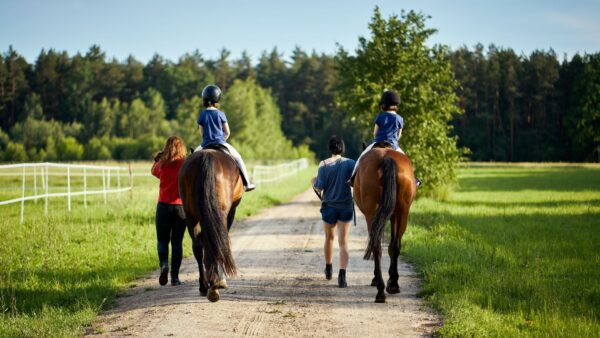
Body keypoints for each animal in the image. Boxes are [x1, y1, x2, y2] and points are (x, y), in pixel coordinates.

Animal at [178, 149, 244, 302]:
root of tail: (206, 156)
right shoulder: (230, 213)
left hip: (192, 216)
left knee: (198, 246)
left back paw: (205, 286)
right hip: (220, 213)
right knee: (215, 242)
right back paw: (215, 284)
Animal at [354, 147, 414, 302]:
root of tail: (386, 157)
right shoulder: (393, 216)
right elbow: (392, 246)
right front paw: (392, 281)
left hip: (373, 213)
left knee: (377, 245)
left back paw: (380, 289)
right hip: (402, 212)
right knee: (394, 245)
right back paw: (390, 286)